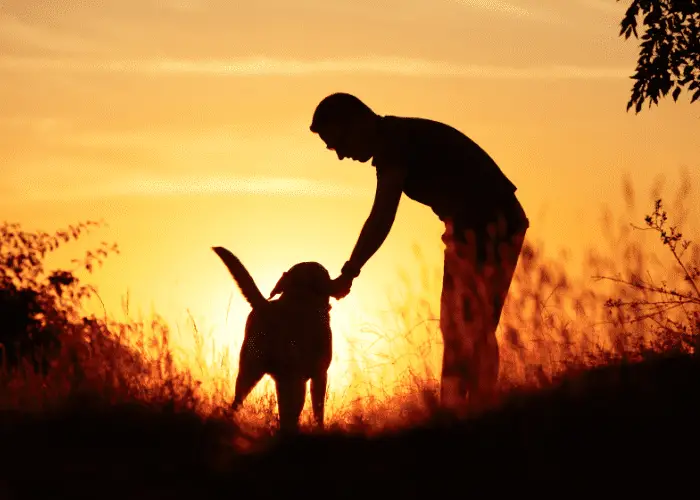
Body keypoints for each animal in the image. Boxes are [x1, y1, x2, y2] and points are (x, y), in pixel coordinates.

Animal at [212, 247, 334, 434]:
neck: (301, 299)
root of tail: (264, 306)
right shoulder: (319, 374)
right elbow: (318, 411)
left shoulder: (283, 379)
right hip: (290, 378)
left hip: (251, 370)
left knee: (237, 402)